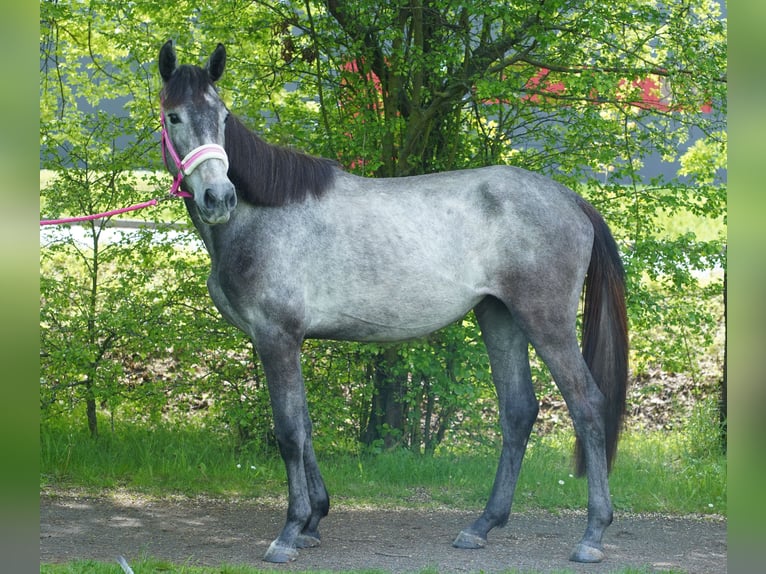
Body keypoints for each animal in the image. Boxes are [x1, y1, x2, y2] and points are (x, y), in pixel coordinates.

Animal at [157, 40, 629, 565]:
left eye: (221, 116)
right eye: (174, 116)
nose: (219, 197)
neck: (263, 215)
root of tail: (571, 199)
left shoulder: (277, 337)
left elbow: (289, 432)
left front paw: (289, 531)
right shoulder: (286, 341)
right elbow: (306, 425)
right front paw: (314, 520)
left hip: (545, 321)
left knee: (587, 406)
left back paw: (592, 534)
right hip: (500, 316)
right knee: (518, 411)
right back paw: (482, 526)